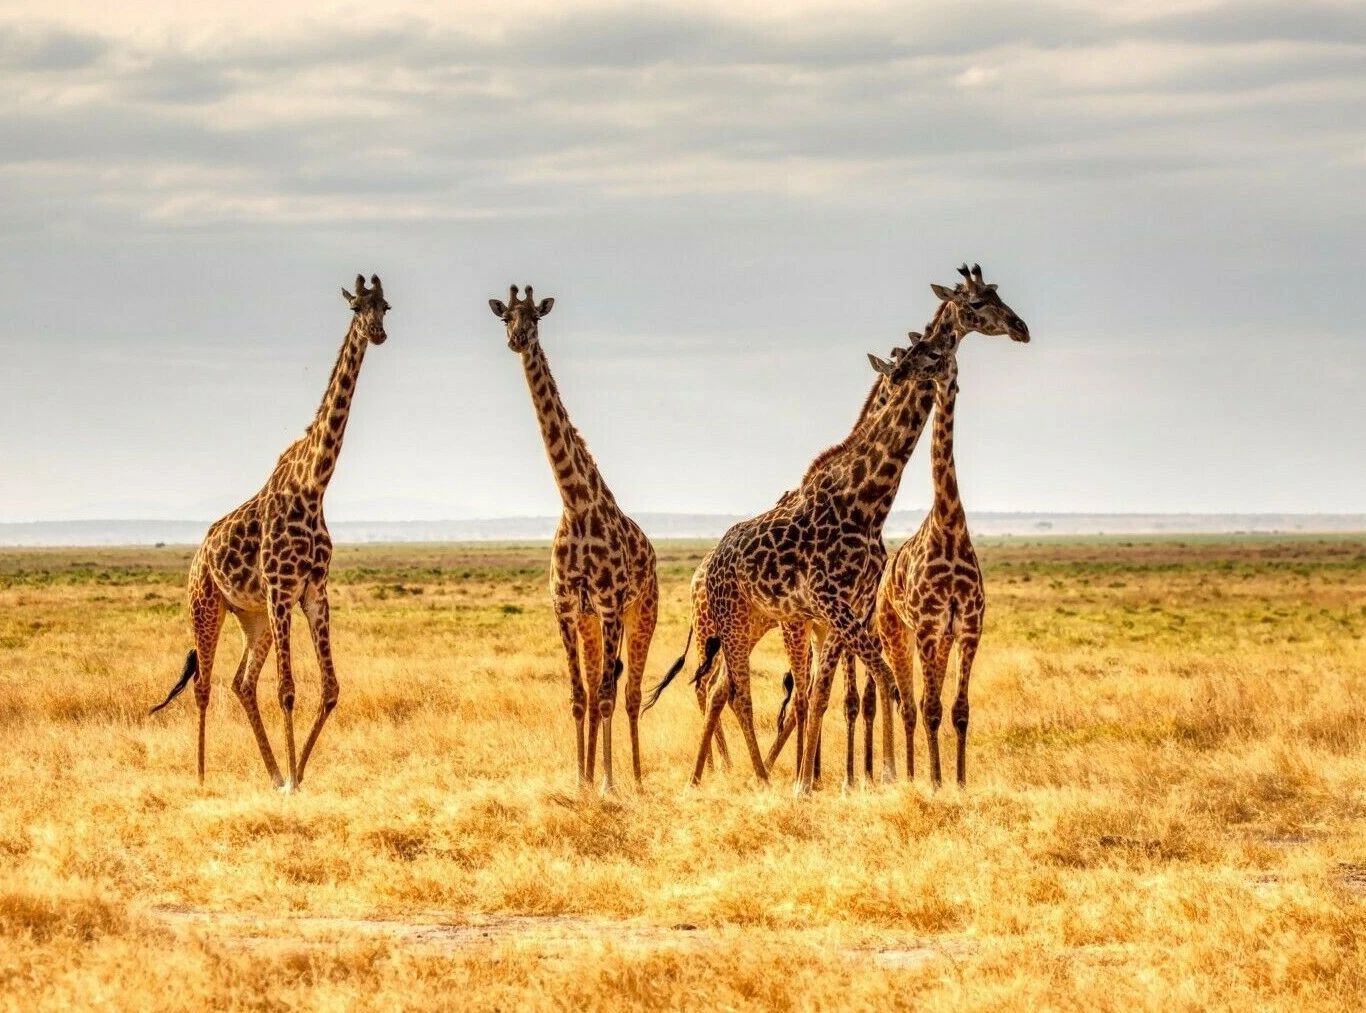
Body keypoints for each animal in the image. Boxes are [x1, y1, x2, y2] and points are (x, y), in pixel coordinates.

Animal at [150, 274, 391, 790]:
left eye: (385, 306)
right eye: (357, 307)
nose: (378, 333)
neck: (314, 484)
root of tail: (198, 556)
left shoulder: (312, 591)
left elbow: (330, 688)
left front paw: (294, 775)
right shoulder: (282, 589)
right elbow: (287, 690)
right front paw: (295, 782)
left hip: (253, 616)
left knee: (241, 682)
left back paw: (271, 771)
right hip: (207, 605)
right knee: (204, 685)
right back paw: (201, 776)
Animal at [489, 285, 658, 792]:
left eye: (535, 318)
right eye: (505, 316)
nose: (517, 339)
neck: (576, 505)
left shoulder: (609, 605)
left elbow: (605, 695)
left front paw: (607, 783)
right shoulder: (566, 607)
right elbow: (579, 695)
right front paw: (580, 781)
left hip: (642, 612)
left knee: (629, 692)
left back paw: (636, 780)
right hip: (590, 622)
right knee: (602, 684)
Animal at [875, 263, 1029, 787]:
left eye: (934, 350)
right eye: (977, 301)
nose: (1022, 328)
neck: (949, 525)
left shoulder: (968, 628)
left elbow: (959, 710)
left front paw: (959, 782)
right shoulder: (926, 628)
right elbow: (929, 708)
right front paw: (937, 781)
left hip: (935, 639)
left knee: (922, 702)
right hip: (896, 634)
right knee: (907, 703)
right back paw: (908, 774)